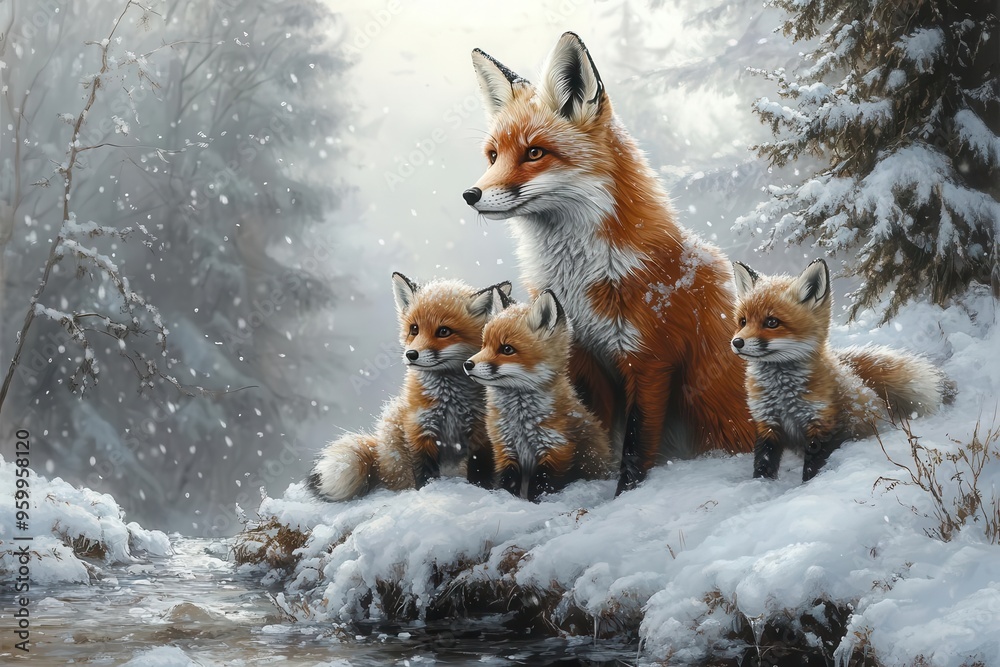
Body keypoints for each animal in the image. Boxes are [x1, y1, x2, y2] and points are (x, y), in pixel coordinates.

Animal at [307, 273, 510, 502]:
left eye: (444, 331)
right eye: (414, 329)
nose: (411, 354)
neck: (449, 402)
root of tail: (380, 460)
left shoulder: (481, 433)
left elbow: (480, 471)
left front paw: (482, 491)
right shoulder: (419, 429)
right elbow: (424, 473)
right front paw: (428, 494)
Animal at [464, 288, 613, 501]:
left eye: (507, 349)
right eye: (484, 345)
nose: (468, 364)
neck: (520, 423)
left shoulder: (557, 447)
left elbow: (542, 485)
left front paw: (537, 503)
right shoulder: (504, 447)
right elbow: (507, 480)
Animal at [730, 259, 954, 481]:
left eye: (772, 322)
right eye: (743, 321)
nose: (737, 342)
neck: (782, 396)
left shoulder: (824, 424)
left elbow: (812, 468)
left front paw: (808, 485)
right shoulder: (767, 423)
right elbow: (763, 463)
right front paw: (762, 485)